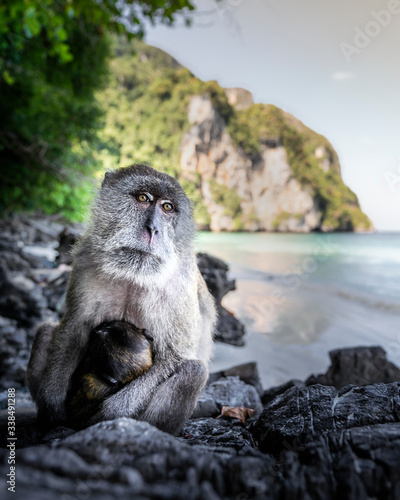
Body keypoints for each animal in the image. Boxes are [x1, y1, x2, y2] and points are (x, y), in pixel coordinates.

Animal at [27, 164, 216, 434]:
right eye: (143, 198)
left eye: (167, 207)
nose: (153, 229)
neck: (133, 273)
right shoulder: (86, 258)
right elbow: (75, 327)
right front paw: (52, 403)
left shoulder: (180, 282)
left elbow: (175, 356)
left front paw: (113, 413)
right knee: (44, 333)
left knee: (193, 371)